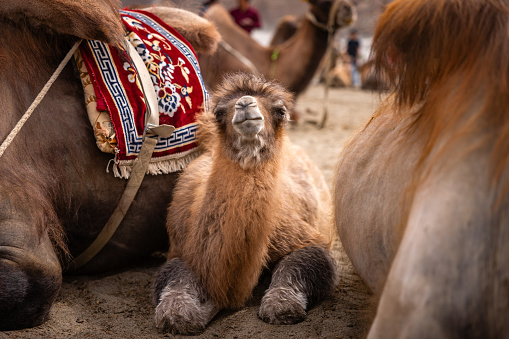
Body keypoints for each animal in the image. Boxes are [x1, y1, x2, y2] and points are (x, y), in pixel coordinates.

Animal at [150, 73, 338, 336]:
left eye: (280, 110)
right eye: (219, 112)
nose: (246, 103)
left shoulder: (306, 237)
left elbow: (306, 262)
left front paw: (282, 305)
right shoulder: (181, 246)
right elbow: (174, 275)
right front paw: (178, 313)